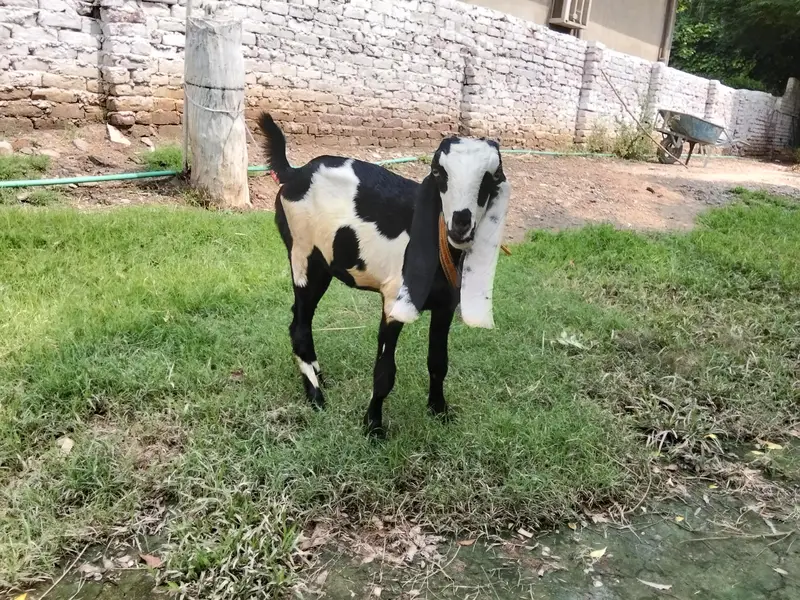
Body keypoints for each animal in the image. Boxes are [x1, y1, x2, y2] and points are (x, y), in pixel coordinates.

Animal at [258, 113, 510, 437]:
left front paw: (439, 410)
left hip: (323, 264)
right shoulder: (393, 301)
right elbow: (384, 371)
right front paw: (374, 427)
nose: (460, 224)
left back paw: (319, 377)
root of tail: (295, 173)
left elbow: (438, 362)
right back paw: (316, 396)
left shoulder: (445, 305)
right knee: (300, 325)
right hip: (303, 253)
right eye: (439, 173)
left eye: (491, 178)